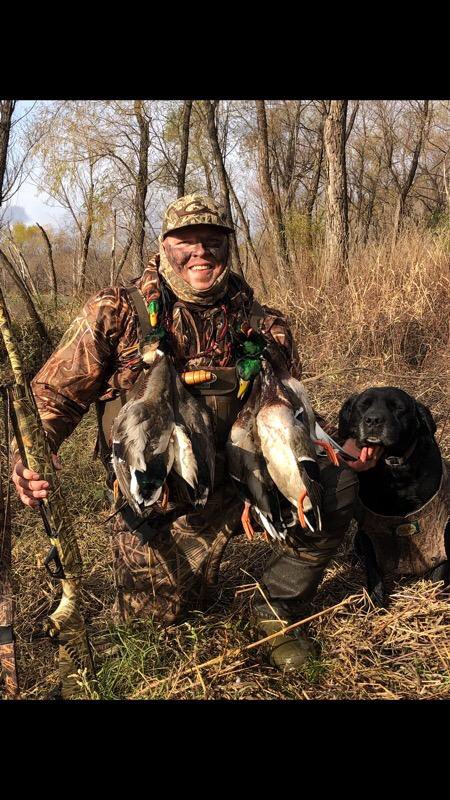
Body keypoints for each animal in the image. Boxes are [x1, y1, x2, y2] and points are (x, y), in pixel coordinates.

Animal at [340, 390, 448, 608]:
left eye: (398, 407)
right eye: (363, 406)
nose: (373, 420)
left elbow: (439, 566)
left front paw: (434, 596)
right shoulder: (369, 527)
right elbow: (372, 567)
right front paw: (375, 601)